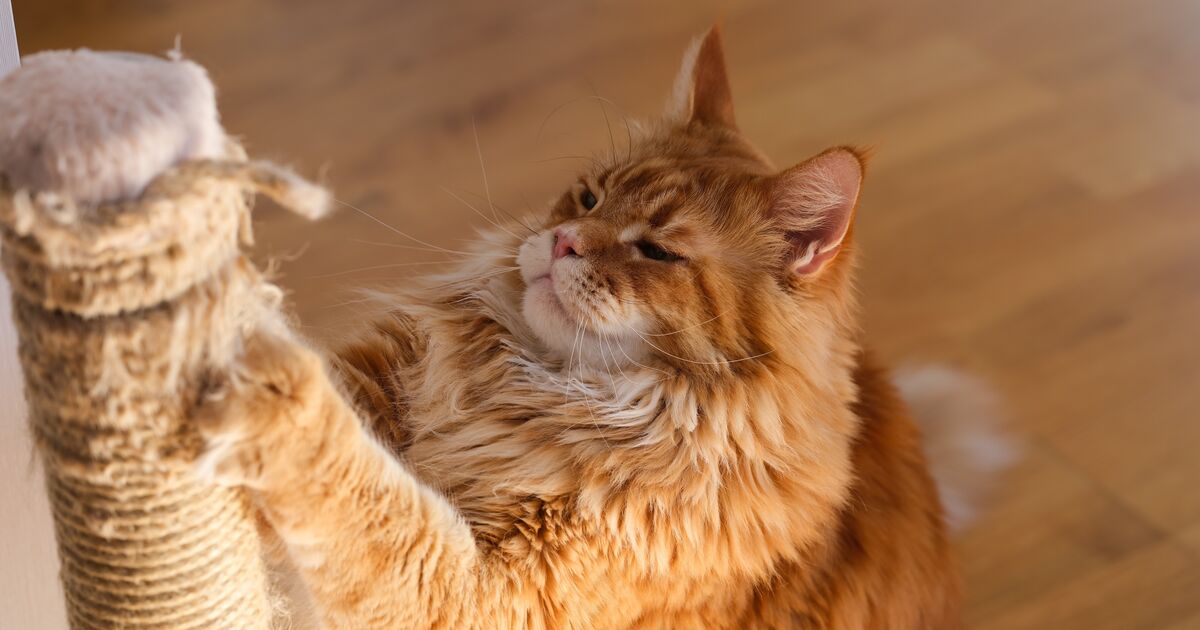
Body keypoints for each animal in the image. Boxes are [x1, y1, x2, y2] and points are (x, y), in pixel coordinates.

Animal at [196, 25, 964, 628]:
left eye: (656, 251)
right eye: (589, 198)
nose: (564, 241)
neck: (530, 390)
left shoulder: (486, 594)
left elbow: (365, 496)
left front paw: (272, 386)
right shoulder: (385, 370)